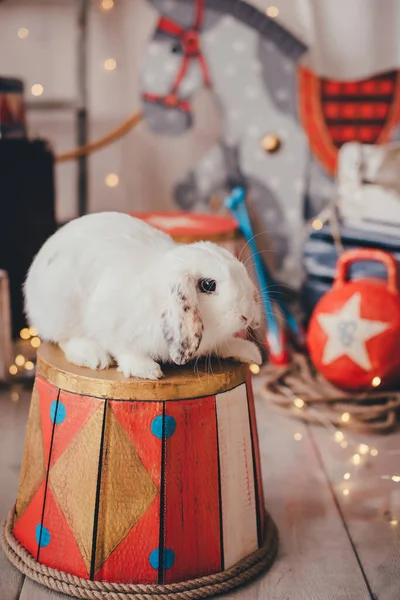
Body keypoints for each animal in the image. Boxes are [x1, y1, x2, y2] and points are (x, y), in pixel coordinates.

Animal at [25, 213, 262, 378]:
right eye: (208, 285)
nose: (247, 316)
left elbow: (224, 344)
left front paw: (249, 352)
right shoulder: (111, 324)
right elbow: (124, 349)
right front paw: (146, 370)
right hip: (62, 310)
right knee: (63, 339)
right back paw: (94, 356)